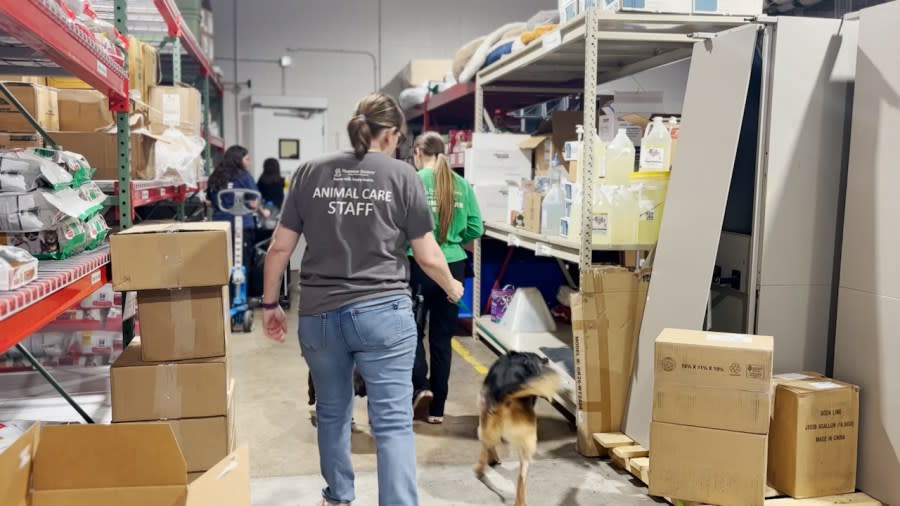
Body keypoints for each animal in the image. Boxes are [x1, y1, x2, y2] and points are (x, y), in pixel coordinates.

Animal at [474, 352, 560, 506]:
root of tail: (505, 395)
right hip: (528, 443)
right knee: (521, 479)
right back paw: (521, 502)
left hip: (484, 423)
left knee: (485, 450)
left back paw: (483, 468)